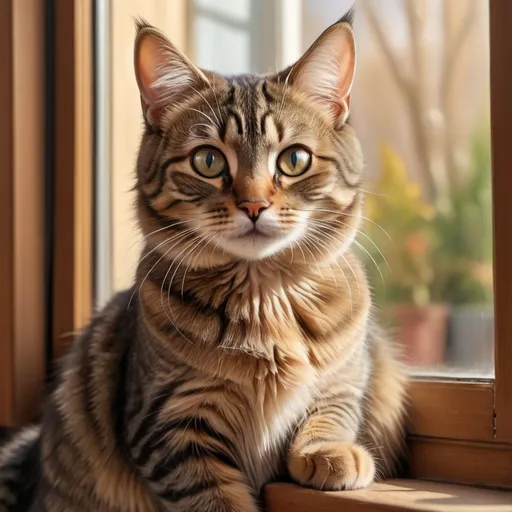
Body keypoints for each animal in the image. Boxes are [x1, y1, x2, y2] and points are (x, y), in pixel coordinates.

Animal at [1, 12, 408, 512]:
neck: (264, 299)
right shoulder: (172, 424)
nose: (254, 205)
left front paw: (329, 452)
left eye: (294, 159)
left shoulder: (349, 376)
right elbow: (215, 500)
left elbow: (334, 409)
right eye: (209, 161)